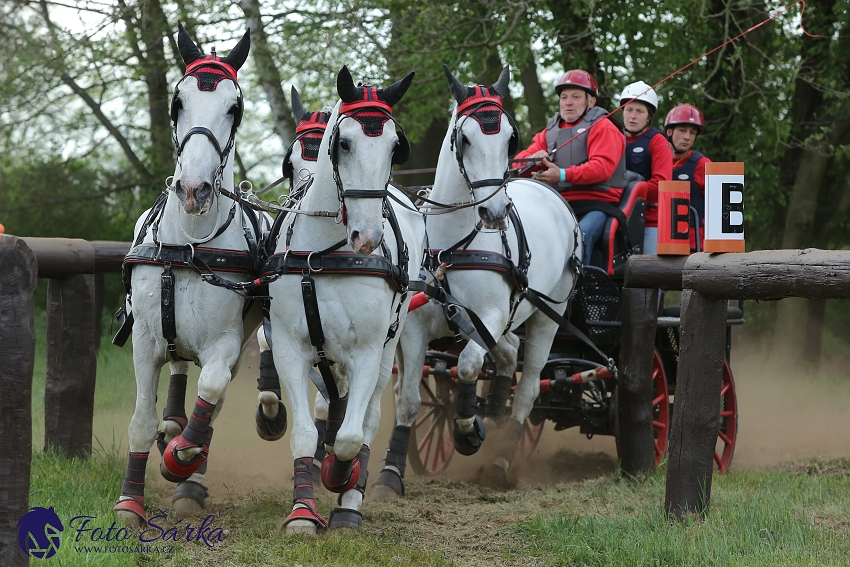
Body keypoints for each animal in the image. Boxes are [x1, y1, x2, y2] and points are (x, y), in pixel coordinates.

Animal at [112, 24, 264, 524]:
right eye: (178, 102)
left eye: (234, 108)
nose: (194, 190)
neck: (192, 243)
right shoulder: (144, 340)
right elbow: (141, 423)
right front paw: (130, 502)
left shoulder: (228, 342)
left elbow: (212, 389)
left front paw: (182, 458)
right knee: (180, 367)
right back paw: (175, 420)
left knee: (209, 398)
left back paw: (189, 468)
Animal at [266, 66, 422, 532]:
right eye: (345, 142)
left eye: (394, 147)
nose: (367, 236)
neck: (323, 254)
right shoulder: (289, 348)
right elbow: (305, 432)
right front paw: (302, 513)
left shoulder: (368, 352)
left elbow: (353, 436)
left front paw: (340, 476)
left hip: (391, 342)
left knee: (365, 421)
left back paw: (350, 501)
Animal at [372, 63, 584, 496]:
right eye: (464, 137)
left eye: (509, 137)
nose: (495, 211)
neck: (451, 244)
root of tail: (544, 188)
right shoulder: (416, 328)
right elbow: (408, 400)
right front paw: (390, 474)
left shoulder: (490, 315)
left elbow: (469, 365)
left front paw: (468, 431)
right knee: (508, 353)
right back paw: (497, 411)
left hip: (547, 315)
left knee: (529, 386)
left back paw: (502, 456)